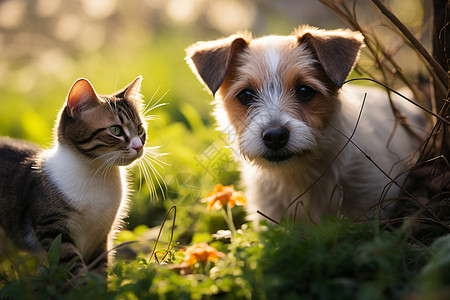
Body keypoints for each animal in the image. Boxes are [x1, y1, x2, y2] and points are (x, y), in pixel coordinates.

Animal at [0, 76, 151, 278]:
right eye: (116, 130)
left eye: (140, 128)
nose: (138, 146)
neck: (97, 175)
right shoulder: (53, 230)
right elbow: (73, 267)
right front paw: (83, 284)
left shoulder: (100, 236)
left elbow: (99, 268)